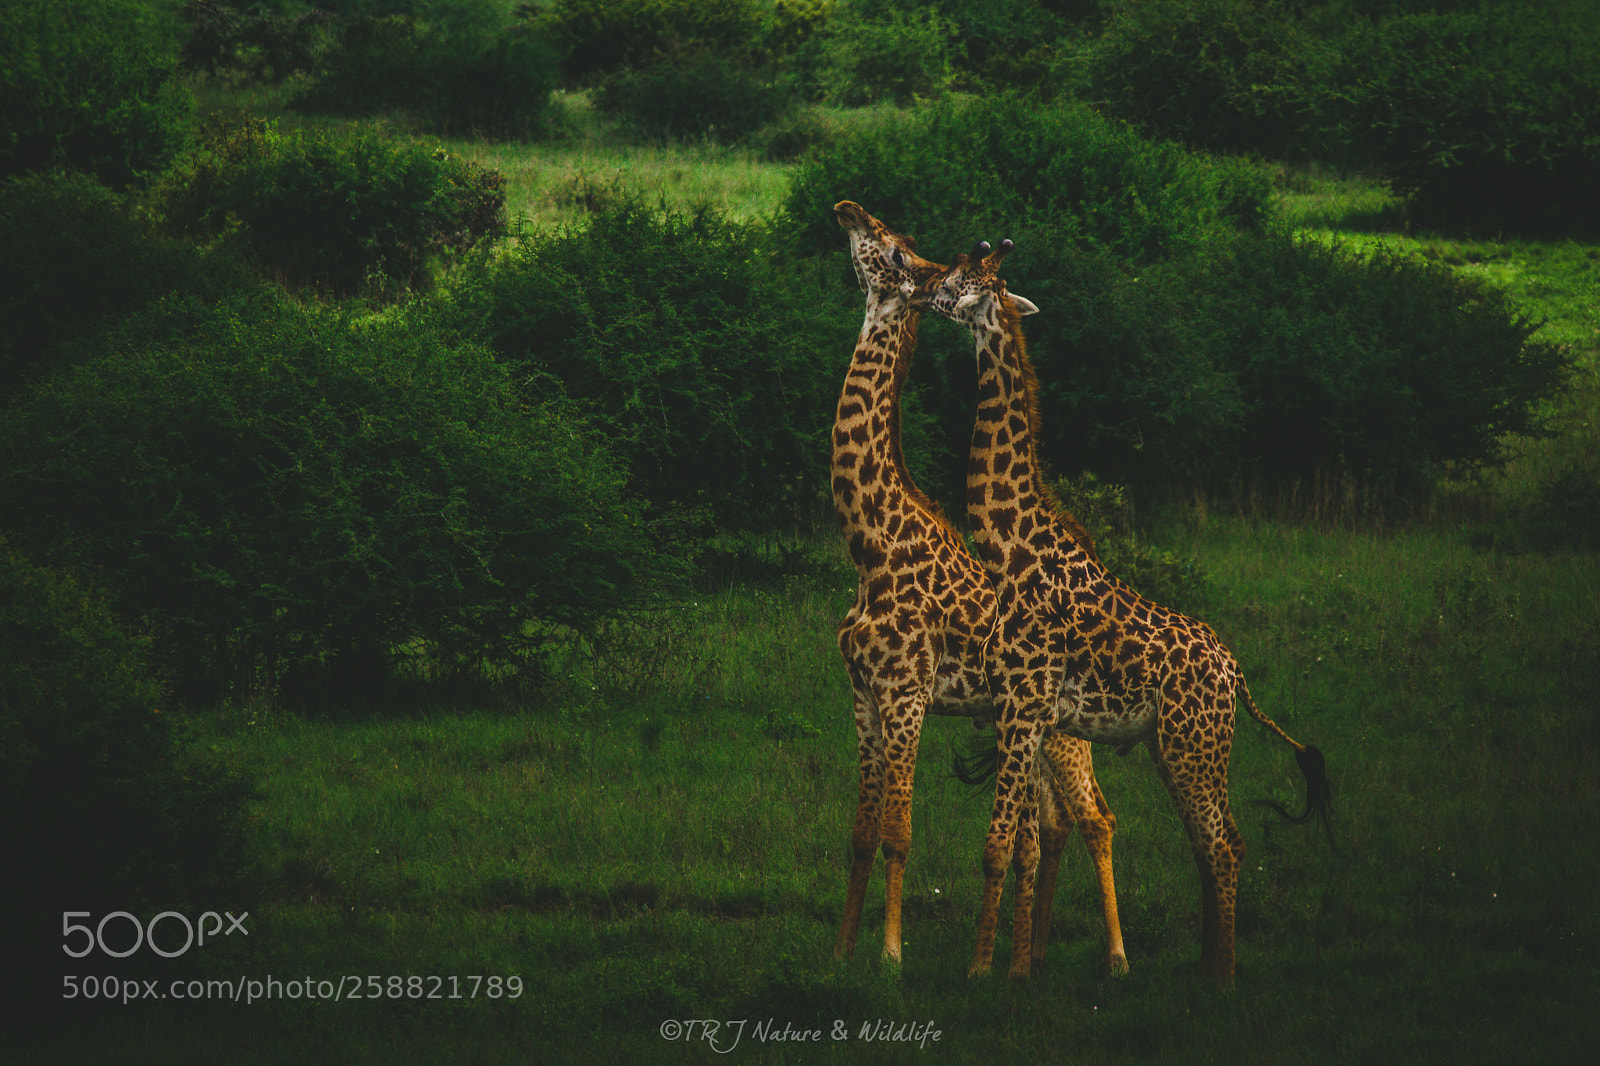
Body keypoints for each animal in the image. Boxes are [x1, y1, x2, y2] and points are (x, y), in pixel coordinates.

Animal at [829, 202, 1126, 978]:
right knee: (1052, 826)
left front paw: (891, 957)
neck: (870, 543)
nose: (847, 209)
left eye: (897, 252)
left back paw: (1110, 958)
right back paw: (1034, 953)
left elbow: (899, 831)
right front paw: (841, 950)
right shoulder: (861, 694)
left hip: (1059, 733)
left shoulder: (907, 692)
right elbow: (861, 832)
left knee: (1094, 817)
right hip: (1033, 730)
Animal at [915, 239, 1331, 982]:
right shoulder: (1029, 712)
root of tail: (1236, 677)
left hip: (1195, 745)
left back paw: (1222, 979)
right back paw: (1204, 966)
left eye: (962, 276)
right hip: (1177, 747)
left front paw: (981, 973)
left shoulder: (1022, 703)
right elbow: (1028, 840)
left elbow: (998, 845)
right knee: (1211, 844)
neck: (1010, 546)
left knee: (1225, 844)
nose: (922, 282)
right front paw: (1018, 967)